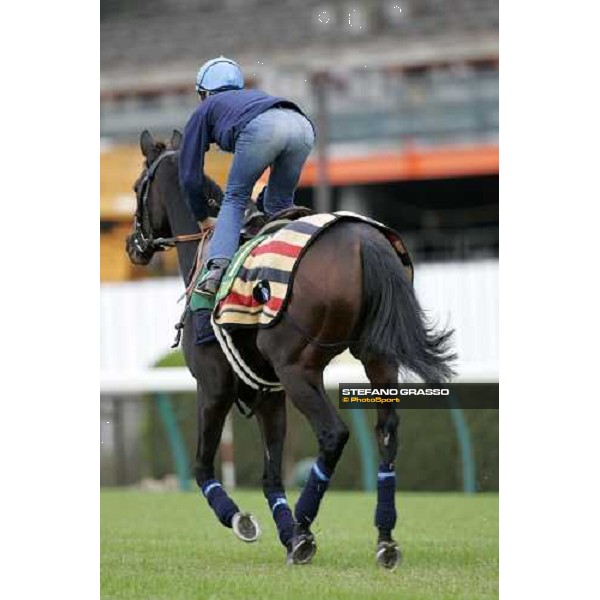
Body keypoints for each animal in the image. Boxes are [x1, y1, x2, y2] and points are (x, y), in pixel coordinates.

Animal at [125, 129, 454, 568]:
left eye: (136, 187)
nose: (132, 245)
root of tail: (363, 241)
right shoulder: (269, 393)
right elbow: (270, 475)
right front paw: (284, 532)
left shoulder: (213, 386)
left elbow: (202, 467)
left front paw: (245, 521)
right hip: (377, 360)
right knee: (387, 433)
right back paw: (383, 539)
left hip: (299, 369)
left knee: (333, 434)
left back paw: (305, 526)